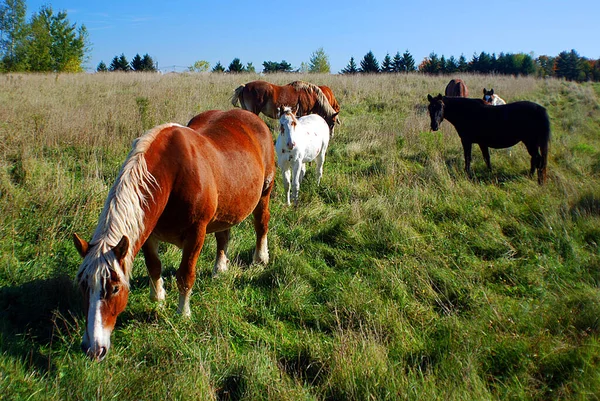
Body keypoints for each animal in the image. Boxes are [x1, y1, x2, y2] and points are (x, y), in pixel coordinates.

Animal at [72, 108, 274, 360]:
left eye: (115, 288)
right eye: (83, 286)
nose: (93, 348)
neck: (171, 173)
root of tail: (251, 116)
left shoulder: (196, 233)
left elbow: (185, 275)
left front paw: (183, 313)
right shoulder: (149, 233)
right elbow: (153, 266)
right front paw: (158, 298)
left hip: (265, 191)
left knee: (261, 224)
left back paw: (260, 258)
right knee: (223, 236)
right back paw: (219, 268)